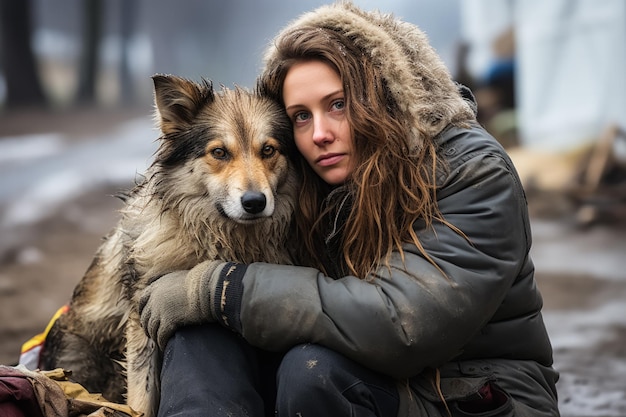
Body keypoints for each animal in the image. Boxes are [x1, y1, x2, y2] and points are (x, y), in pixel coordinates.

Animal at [39, 75, 298, 416]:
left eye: (268, 149)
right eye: (219, 152)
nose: (254, 202)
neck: (224, 239)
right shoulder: (141, 319)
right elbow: (141, 396)